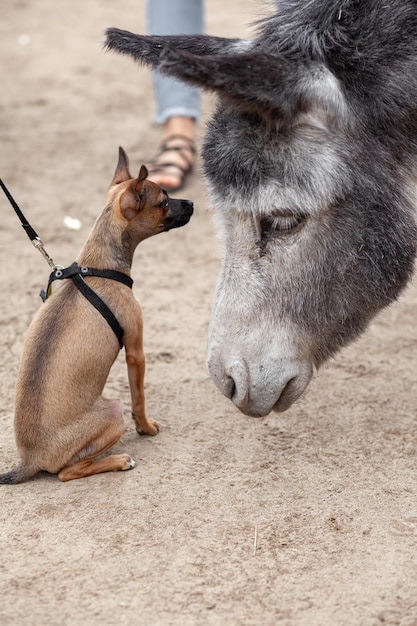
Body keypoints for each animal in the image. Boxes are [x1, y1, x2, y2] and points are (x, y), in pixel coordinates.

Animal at [0, 146, 193, 482]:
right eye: (164, 202)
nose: (193, 203)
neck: (98, 266)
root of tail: (30, 460)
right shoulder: (136, 353)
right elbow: (139, 399)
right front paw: (146, 428)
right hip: (114, 412)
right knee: (66, 473)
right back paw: (118, 460)